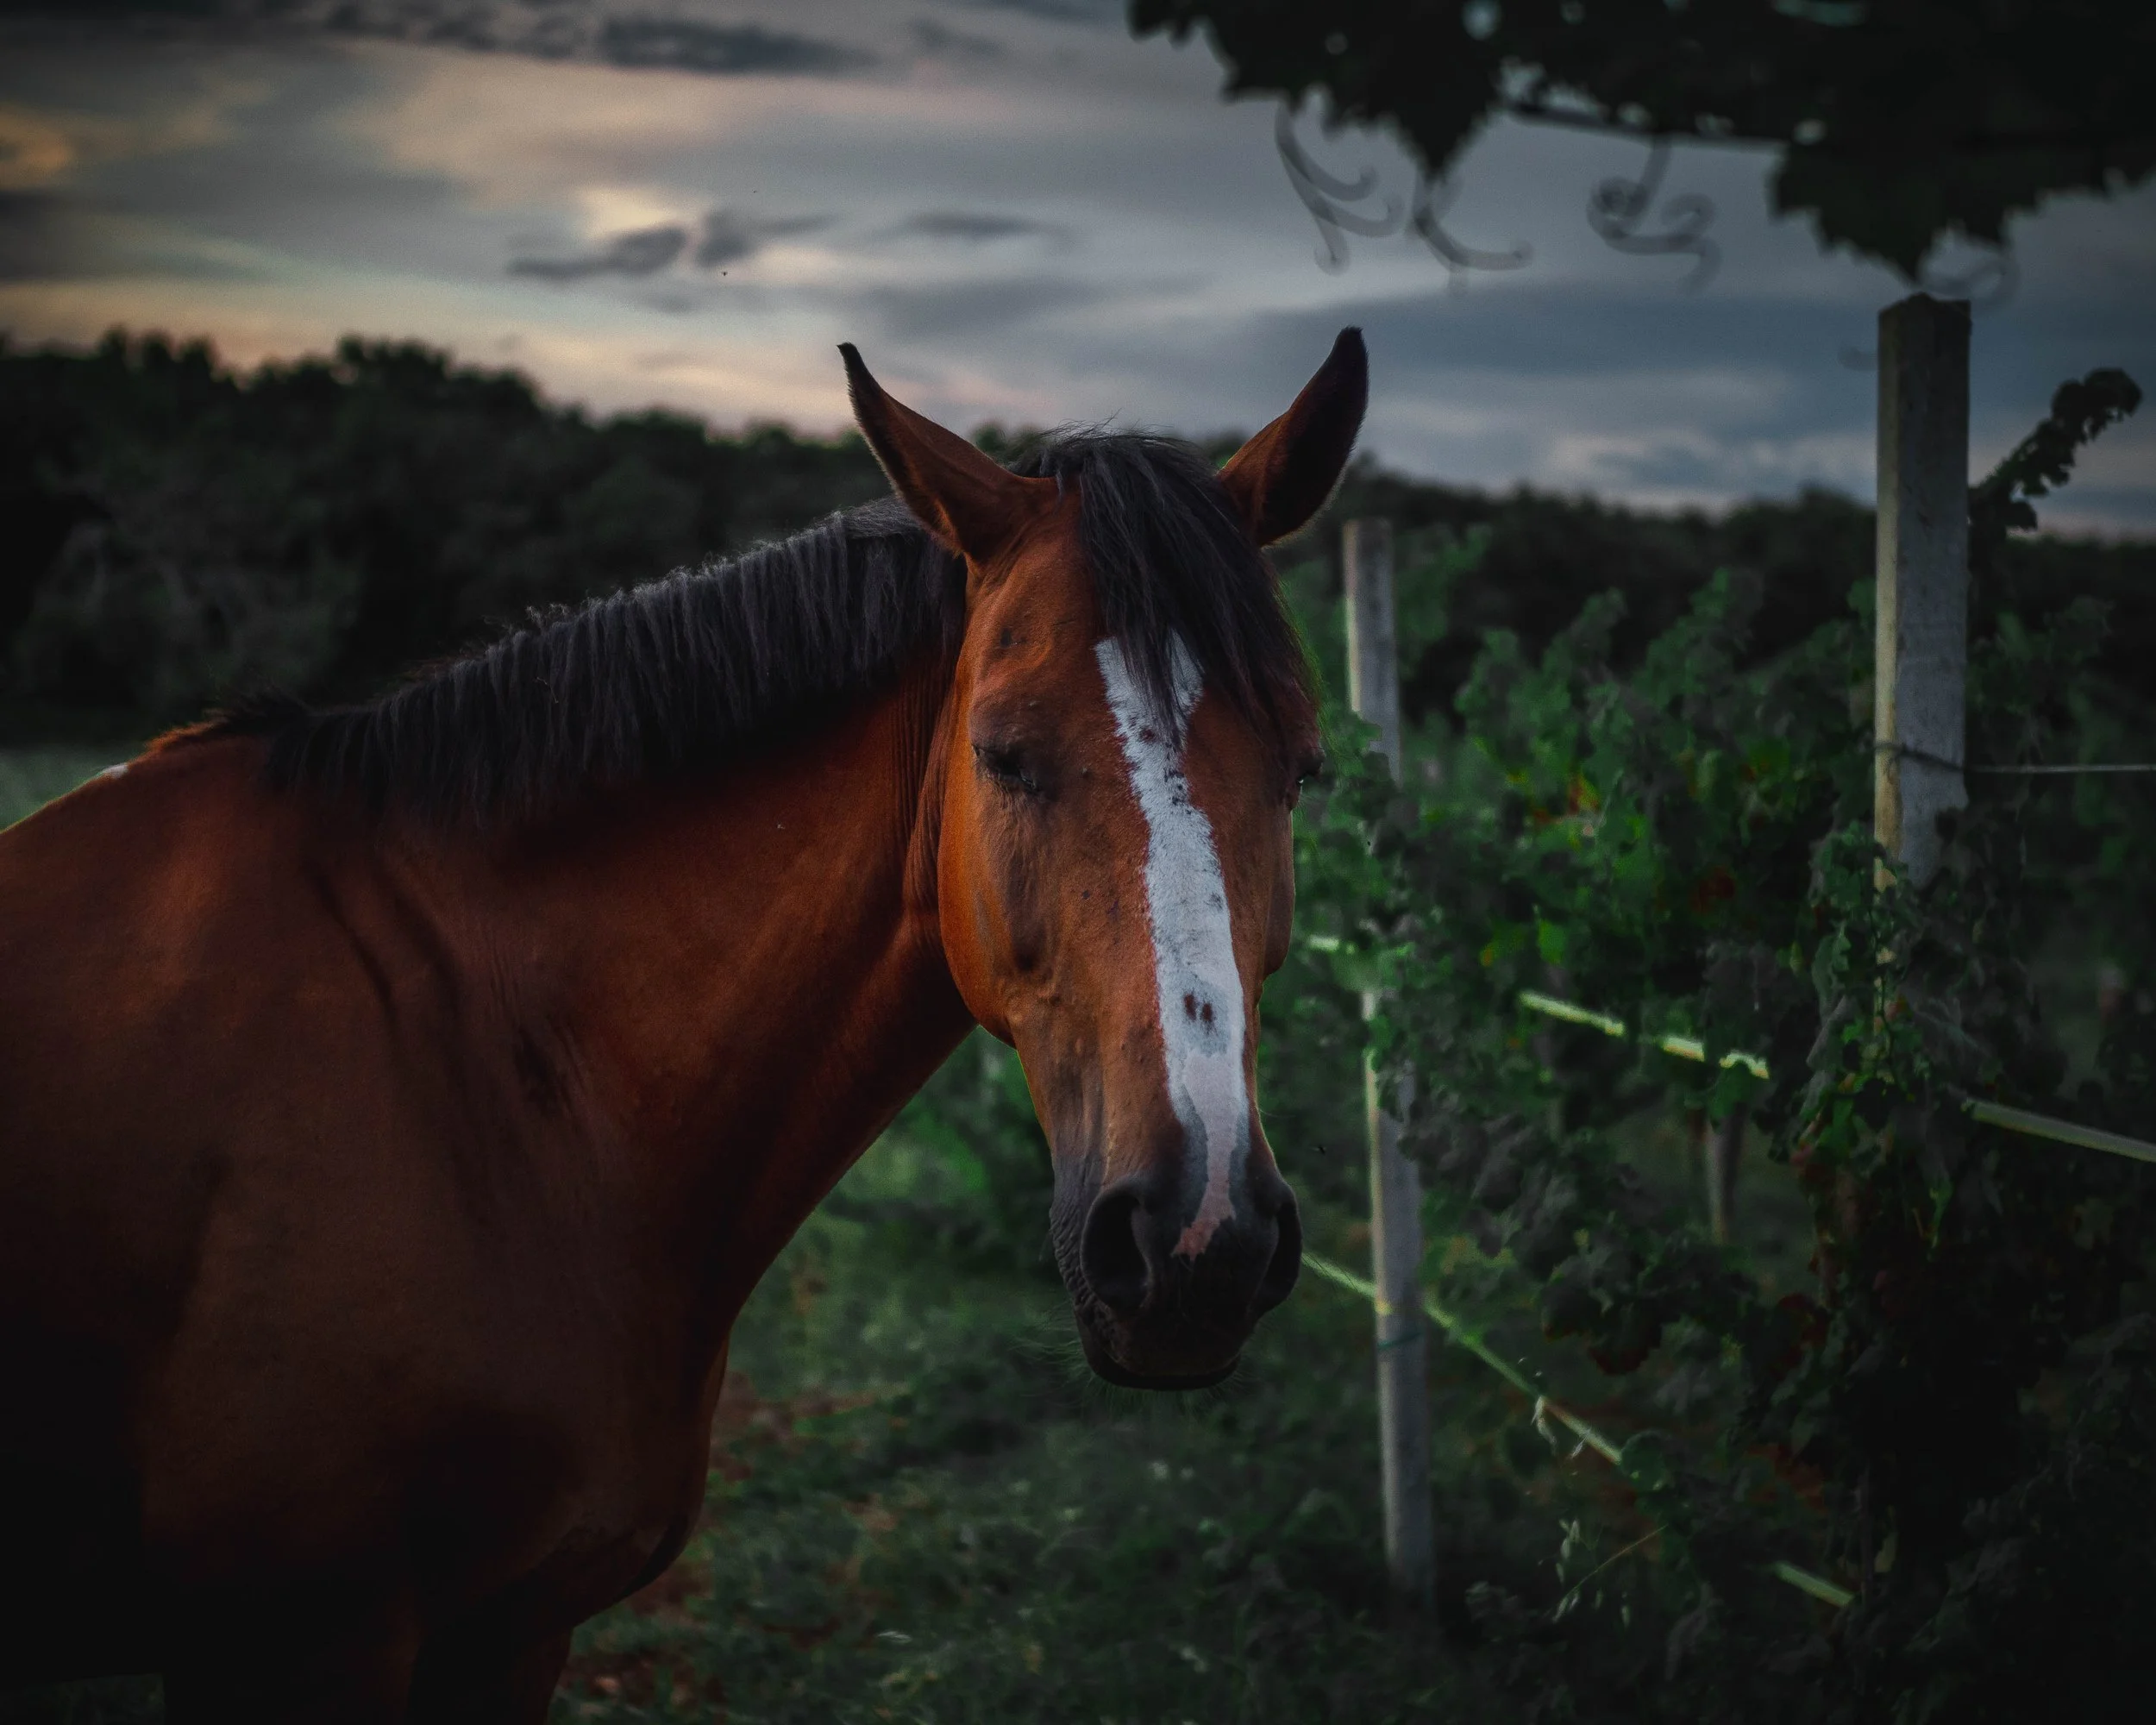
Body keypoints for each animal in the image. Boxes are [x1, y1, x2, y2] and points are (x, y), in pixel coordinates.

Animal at [0, 328, 1366, 1718]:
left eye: (1303, 769)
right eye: (1002, 753)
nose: (1197, 1239)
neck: (474, 1072)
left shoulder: (514, 1631)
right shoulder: (302, 1649)